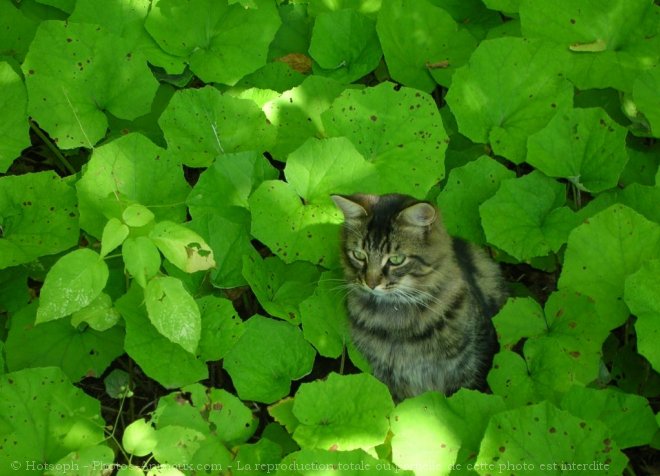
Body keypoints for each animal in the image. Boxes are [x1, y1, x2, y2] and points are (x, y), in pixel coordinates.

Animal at [332, 192, 508, 400]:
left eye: (396, 260)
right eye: (359, 255)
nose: (371, 283)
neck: (398, 321)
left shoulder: (470, 365)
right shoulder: (390, 378)